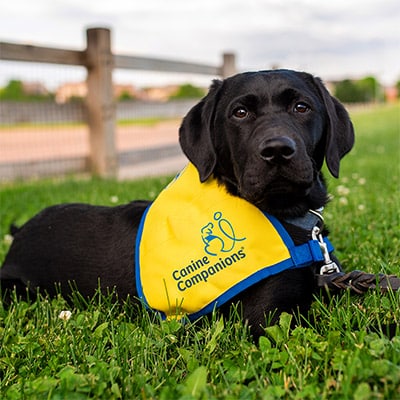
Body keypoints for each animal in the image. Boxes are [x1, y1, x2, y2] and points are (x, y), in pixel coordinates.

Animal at [0, 70, 354, 340]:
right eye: (240, 113)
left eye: (301, 107)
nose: (278, 150)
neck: (289, 218)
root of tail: (20, 230)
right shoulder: (268, 317)